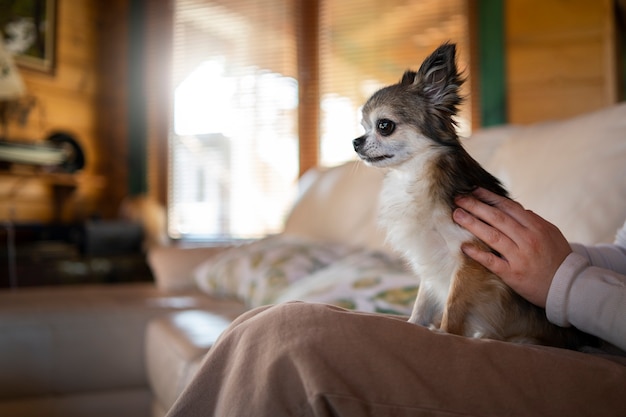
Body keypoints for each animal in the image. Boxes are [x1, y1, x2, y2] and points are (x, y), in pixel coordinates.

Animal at [354, 42, 592, 348]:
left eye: (384, 126)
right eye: (363, 127)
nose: (355, 142)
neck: (412, 177)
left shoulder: (469, 261)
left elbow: (453, 309)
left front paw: (444, 334)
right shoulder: (432, 264)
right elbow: (422, 305)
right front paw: (414, 326)